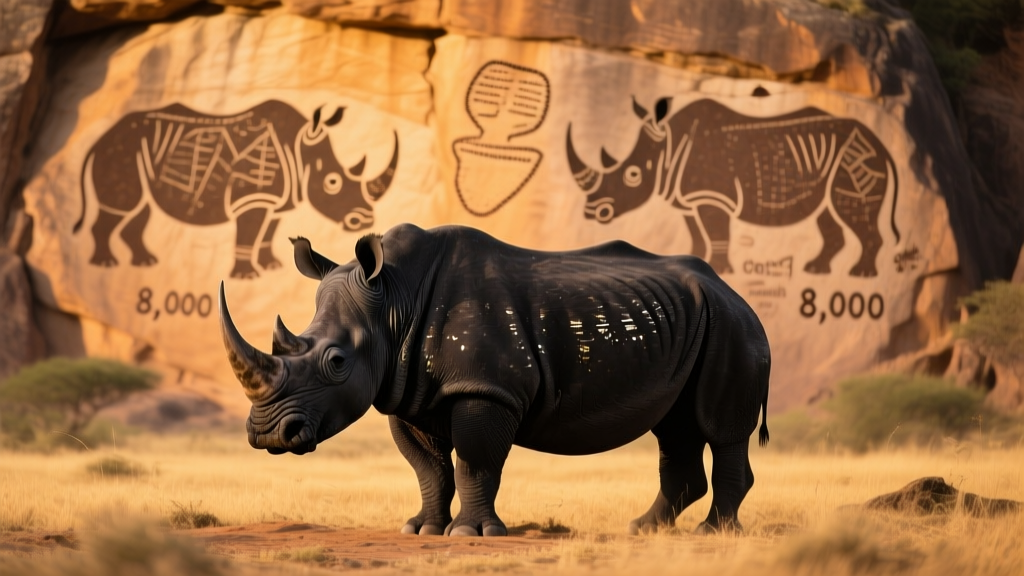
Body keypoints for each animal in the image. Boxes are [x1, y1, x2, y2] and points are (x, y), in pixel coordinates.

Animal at [74, 100, 398, 278]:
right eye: (333, 183)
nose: (363, 220)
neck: (300, 149)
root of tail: (98, 140)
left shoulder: (277, 202)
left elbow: (267, 234)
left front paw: (271, 266)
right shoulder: (253, 197)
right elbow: (249, 233)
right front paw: (247, 276)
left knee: (141, 208)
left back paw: (145, 262)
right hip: (121, 153)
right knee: (124, 207)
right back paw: (106, 264)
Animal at [219, 224, 771, 535]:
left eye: (335, 361)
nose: (267, 434)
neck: (394, 299)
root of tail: (737, 294)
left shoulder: (486, 390)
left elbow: (475, 462)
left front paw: (471, 535)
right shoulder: (407, 392)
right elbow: (428, 468)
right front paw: (421, 530)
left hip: (732, 328)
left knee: (721, 430)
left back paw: (713, 535)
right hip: (695, 322)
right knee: (674, 427)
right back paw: (644, 529)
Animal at [567, 97, 899, 277]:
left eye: (632, 175)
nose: (594, 211)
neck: (666, 148)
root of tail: (881, 143)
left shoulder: (713, 196)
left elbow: (717, 233)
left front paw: (721, 270)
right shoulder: (689, 201)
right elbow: (696, 234)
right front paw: (693, 260)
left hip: (857, 161)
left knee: (851, 209)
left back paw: (861, 274)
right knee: (826, 214)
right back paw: (815, 270)